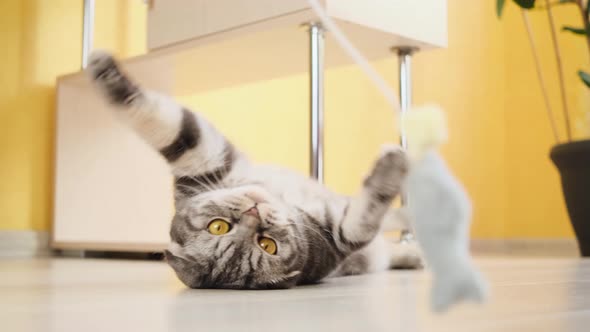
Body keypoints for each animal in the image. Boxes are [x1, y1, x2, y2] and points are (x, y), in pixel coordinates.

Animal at [86, 50, 420, 290]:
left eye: (218, 226)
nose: (254, 212)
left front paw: (104, 71)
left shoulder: (202, 160)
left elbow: (158, 119)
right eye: (267, 244)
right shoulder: (338, 237)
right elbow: (366, 215)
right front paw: (395, 164)